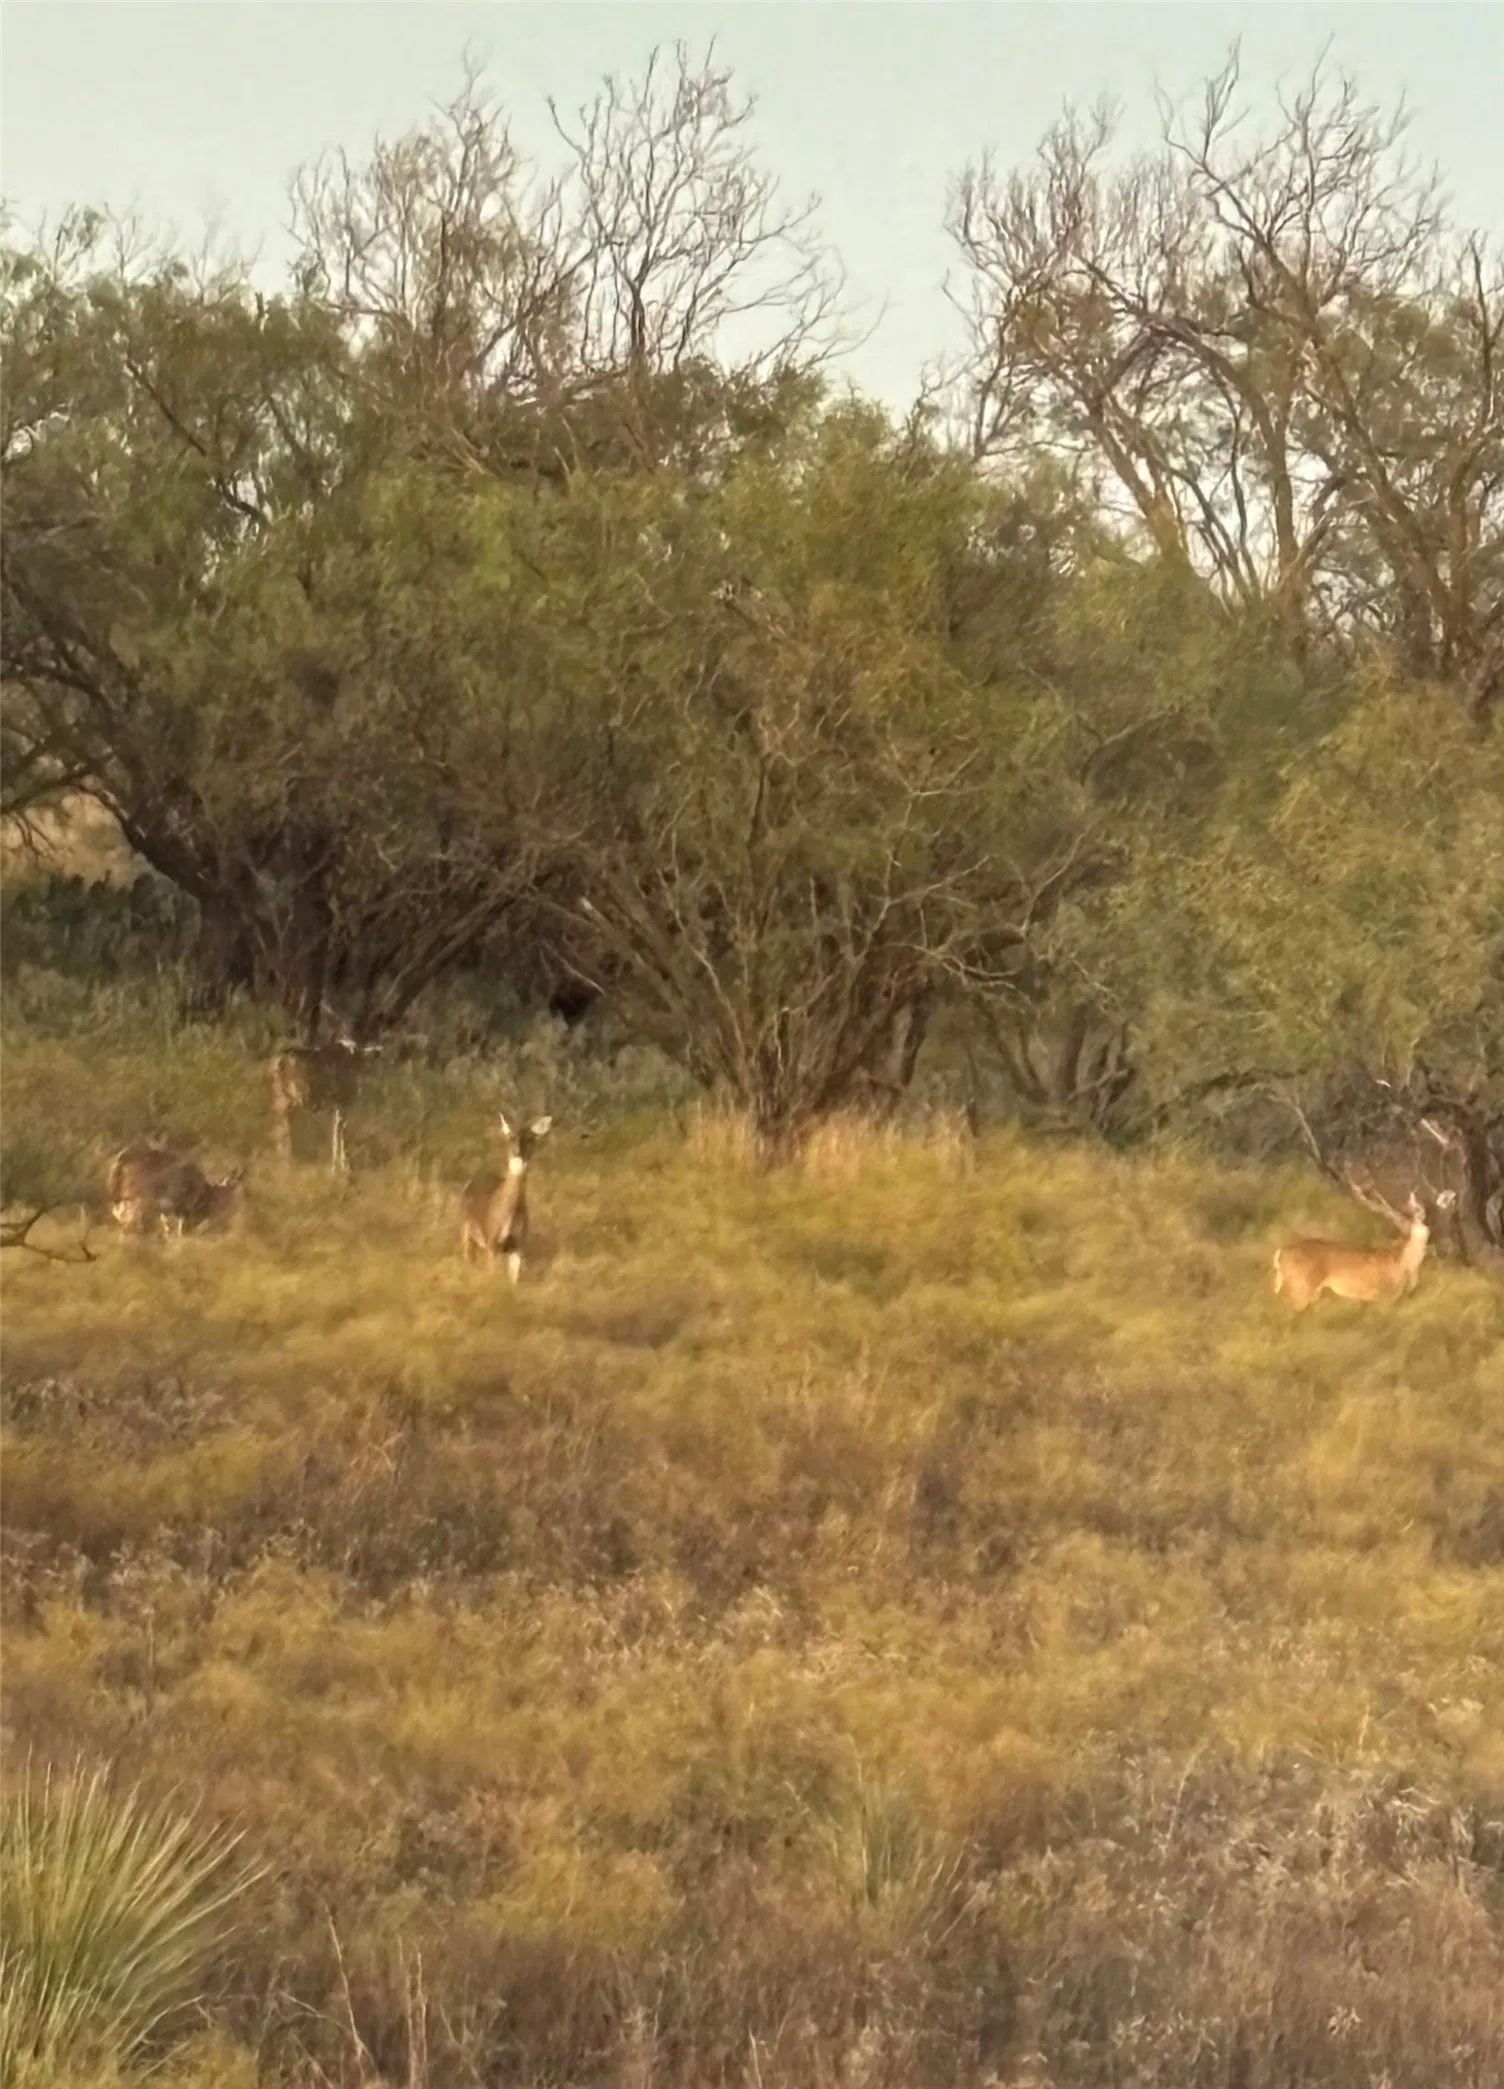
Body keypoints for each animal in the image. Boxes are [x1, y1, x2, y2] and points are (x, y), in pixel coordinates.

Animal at [107, 1143, 246, 1241]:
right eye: (232, 1196)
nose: (232, 1214)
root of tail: (122, 1158)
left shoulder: (167, 1211)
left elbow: (168, 1230)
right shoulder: (183, 1208)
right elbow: (180, 1231)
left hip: (122, 1202)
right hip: (139, 1202)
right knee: (128, 1227)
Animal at [267, 1035, 380, 1171]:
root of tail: (276, 1063)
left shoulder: (335, 1105)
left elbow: (335, 1133)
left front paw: (336, 1166)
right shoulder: (343, 1102)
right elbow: (341, 1135)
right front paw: (343, 1167)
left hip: (281, 1102)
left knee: (279, 1132)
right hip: (289, 1101)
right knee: (282, 1133)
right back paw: (287, 1164)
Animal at [460, 1111, 553, 1285]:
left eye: (529, 1138)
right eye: (510, 1136)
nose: (517, 1152)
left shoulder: (519, 1244)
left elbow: (514, 1280)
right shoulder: (492, 1241)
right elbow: (492, 1273)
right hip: (465, 1227)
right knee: (468, 1256)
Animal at [1273, 1178, 1456, 1312]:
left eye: (1434, 1208)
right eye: (1414, 1207)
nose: (1421, 1215)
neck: (1405, 1264)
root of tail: (1280, 1253)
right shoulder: (1385, 1296)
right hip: (1301, 1286)